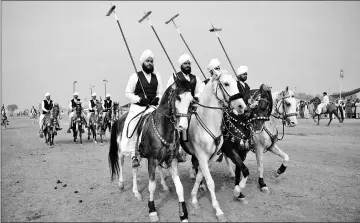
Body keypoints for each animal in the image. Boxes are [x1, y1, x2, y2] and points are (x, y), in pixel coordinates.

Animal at [109, 78, 197, 221]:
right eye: (178, 97)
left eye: (191, 100)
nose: (182, 126)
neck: (163, 128)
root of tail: (119, 118)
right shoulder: (152, 159)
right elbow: (151, 186)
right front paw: (152, 210)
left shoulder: (171, 160)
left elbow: (179, 187)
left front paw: (183, 214)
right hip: (122, 150)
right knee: (121, 163)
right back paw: (122, 184)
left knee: (135, 169)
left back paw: (140, 191)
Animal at [177, 70, 248, 221]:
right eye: (226, 83)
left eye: (236, 83)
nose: (241, 106)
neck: (207, 123)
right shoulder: (202, 157)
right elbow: (210, 182)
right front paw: (218, 210)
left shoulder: (210, 158)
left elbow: (200, 176)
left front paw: (194, 199)